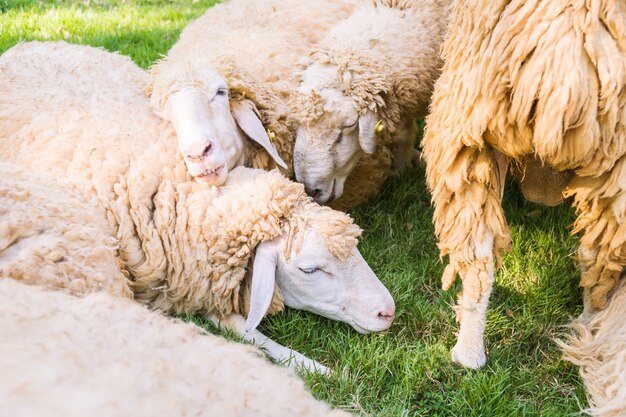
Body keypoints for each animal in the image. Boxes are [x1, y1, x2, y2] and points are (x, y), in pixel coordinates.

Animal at [0, 39, 394, 370]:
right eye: (310, 269)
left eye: (221, 92)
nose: (387, 312)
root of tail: (30, 43)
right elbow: (243, 330)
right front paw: (317, 368)